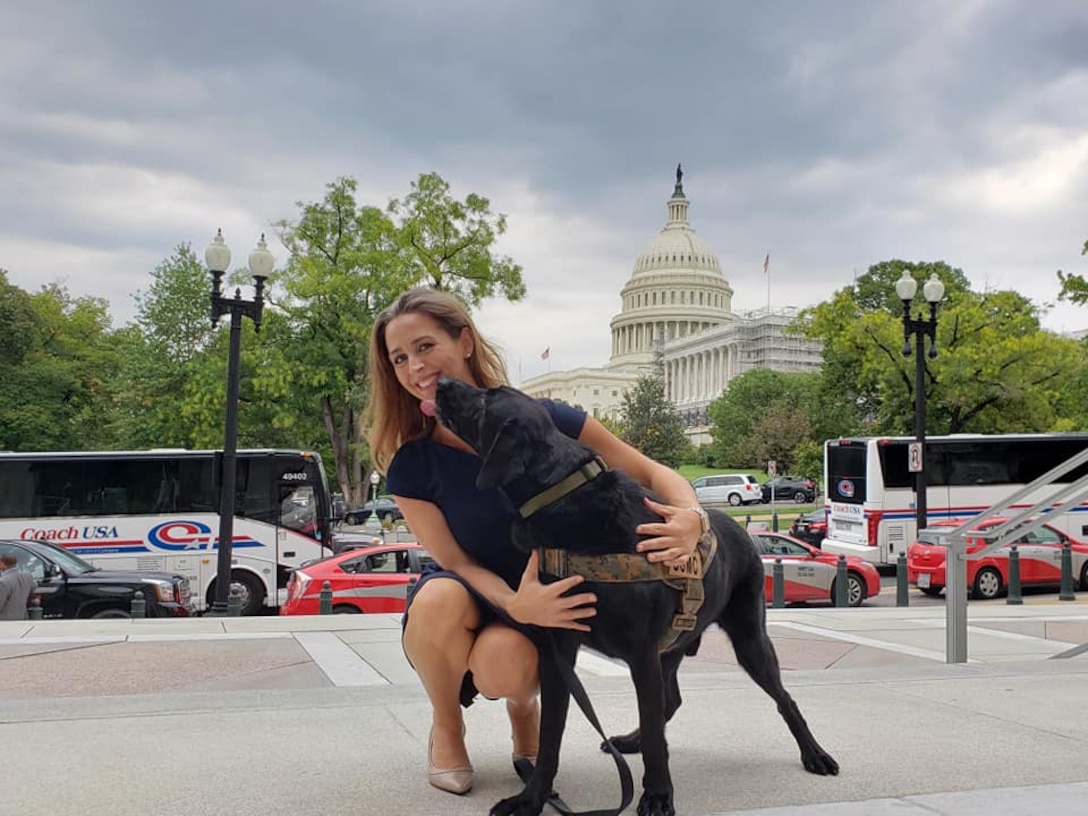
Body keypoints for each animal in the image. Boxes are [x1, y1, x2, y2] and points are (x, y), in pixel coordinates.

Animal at [433, 382, 839, 816]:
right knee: (669, 701)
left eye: (487, 397)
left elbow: (655, 737)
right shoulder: (559, 650)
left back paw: (815, 755)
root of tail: (745, 532)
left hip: (749, 639)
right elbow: (550, 737)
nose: (441, 384)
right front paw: (532, 798)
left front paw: (658, 796)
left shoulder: (641, 651)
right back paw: (633, 740)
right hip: (674, 646)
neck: (563, 499)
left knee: (782, 699)